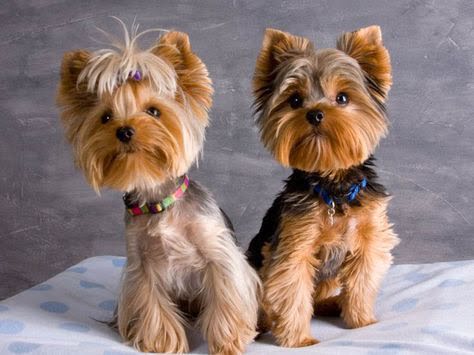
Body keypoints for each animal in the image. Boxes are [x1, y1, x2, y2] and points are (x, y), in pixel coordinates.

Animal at [57, 20, 262, 354]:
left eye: (153, 111)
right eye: (106, 117)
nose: (124, 131)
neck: (158, 199)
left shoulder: (219, 254)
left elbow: (226, 296)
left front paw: (228, 341)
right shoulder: (141, 266)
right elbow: (152, 304)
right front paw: (162, 342)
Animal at [248, 26, 400, 350]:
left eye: (342, 98)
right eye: (295, 100)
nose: (315, 113)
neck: (333, 186)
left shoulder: (369, 237)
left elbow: (362, 280)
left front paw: (362, 321)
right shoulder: (294, 243)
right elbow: (291, 289)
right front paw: (299, 340)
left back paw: (333, 303)